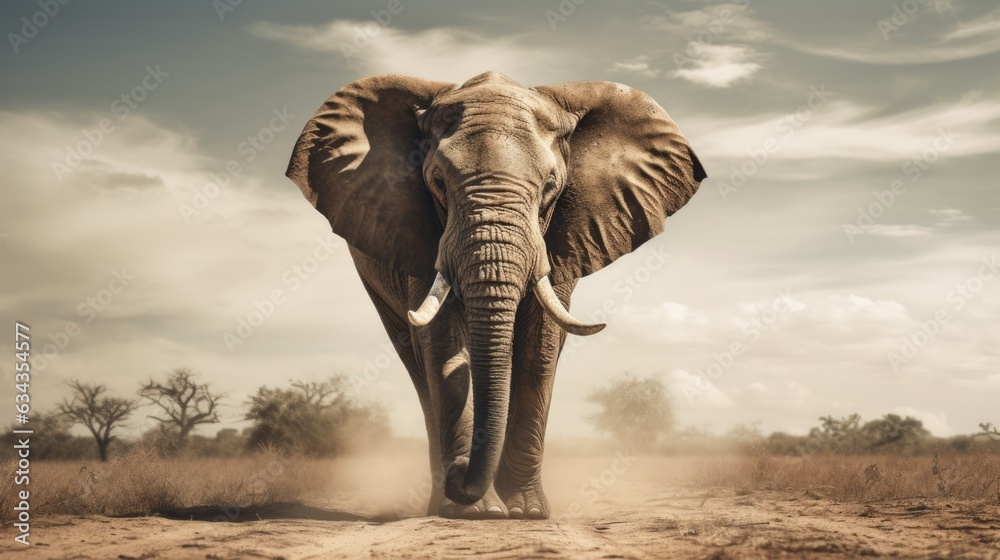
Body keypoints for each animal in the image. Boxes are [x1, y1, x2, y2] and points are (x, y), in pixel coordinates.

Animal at [285, 71, 705, 519]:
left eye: (551, 186)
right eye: (437, 183)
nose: (459, 473)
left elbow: (541, 346)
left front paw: (526, 513)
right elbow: (443, 346)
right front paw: (477, 512)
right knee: (417, 366)